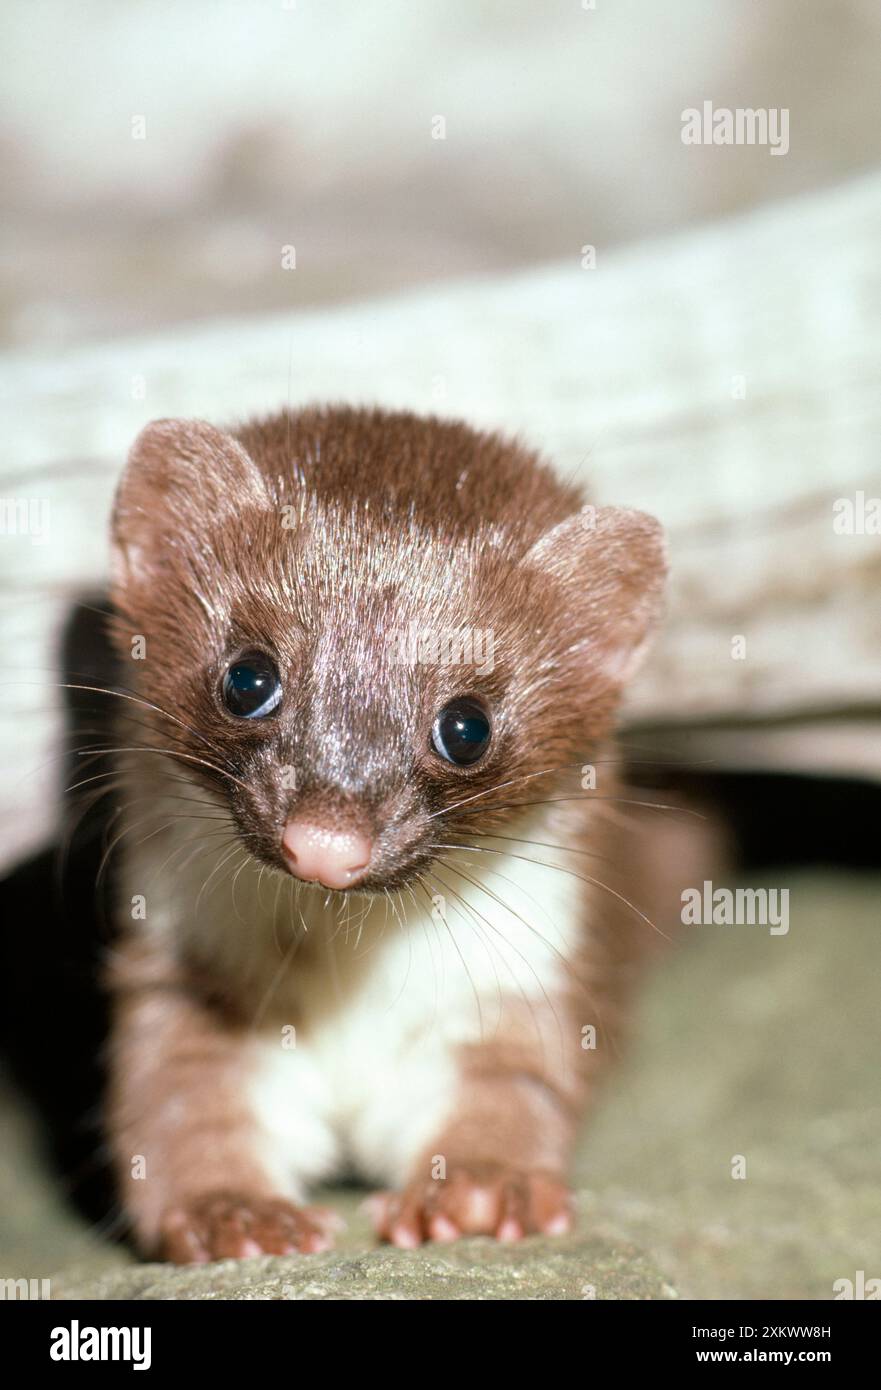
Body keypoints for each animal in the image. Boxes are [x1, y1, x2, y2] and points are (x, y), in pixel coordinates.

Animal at [104, 405, 658, 1262]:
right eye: (247, 676)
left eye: (467, 725)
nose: (326, 841)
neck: (347, 990)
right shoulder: (187, 972)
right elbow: (182, 1098)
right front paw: (235, 1214)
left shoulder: (515, 989)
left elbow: (512, 1086)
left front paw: (479, 1190)